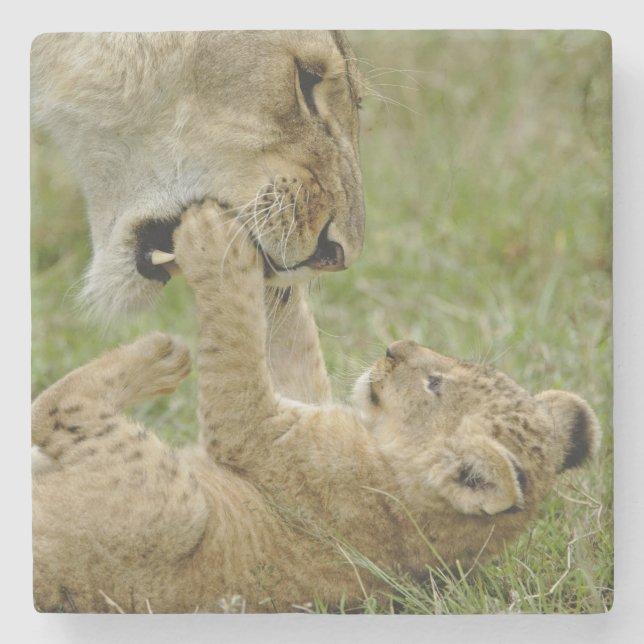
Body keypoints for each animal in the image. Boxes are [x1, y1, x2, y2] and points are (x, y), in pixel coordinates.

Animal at [32, 201, 600, 613]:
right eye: (454, 367)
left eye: (434, 383)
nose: (395, 348)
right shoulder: (302, 404)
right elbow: (291, 340)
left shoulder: (262, 432)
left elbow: (237, 345)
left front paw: (217, 241)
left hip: (173, 509)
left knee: (54, 410)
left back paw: (161, 355)